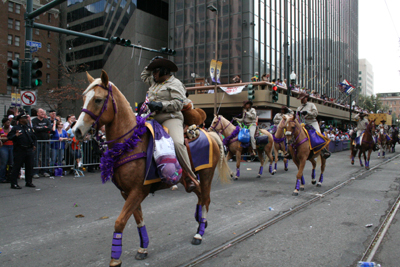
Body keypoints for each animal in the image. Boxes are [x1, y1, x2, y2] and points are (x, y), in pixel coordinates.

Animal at [73, 70, 230, 266]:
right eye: (84, 97)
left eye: (98, 100)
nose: (76, 130)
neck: (131, 143)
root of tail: (210, 134)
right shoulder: (127, 192)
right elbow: (138, 219)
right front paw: (143, 248)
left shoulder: (138, 190)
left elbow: (120, 221)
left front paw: (115, 258)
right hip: (192, 180)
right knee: (200, 196)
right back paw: (200, 221)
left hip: (206, 174)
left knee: (206, 199)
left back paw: (199, 233)